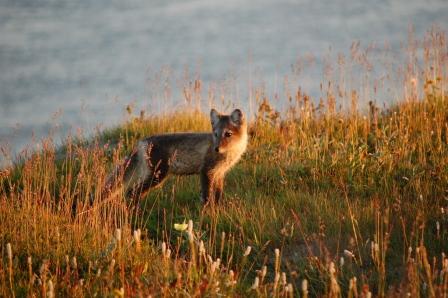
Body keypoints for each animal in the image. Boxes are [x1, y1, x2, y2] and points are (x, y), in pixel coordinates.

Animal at [102, 108, 248, 206]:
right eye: (216, 134)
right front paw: (208, 212)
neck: (230, 153)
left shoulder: (219, 173)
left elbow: (218, 196)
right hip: (157, 176)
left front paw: (218, 210)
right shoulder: (206, 171)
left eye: (228, 134)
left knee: (133, 193)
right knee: (131, 192)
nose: (216, 148)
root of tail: (141, 142)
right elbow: (207, 197)